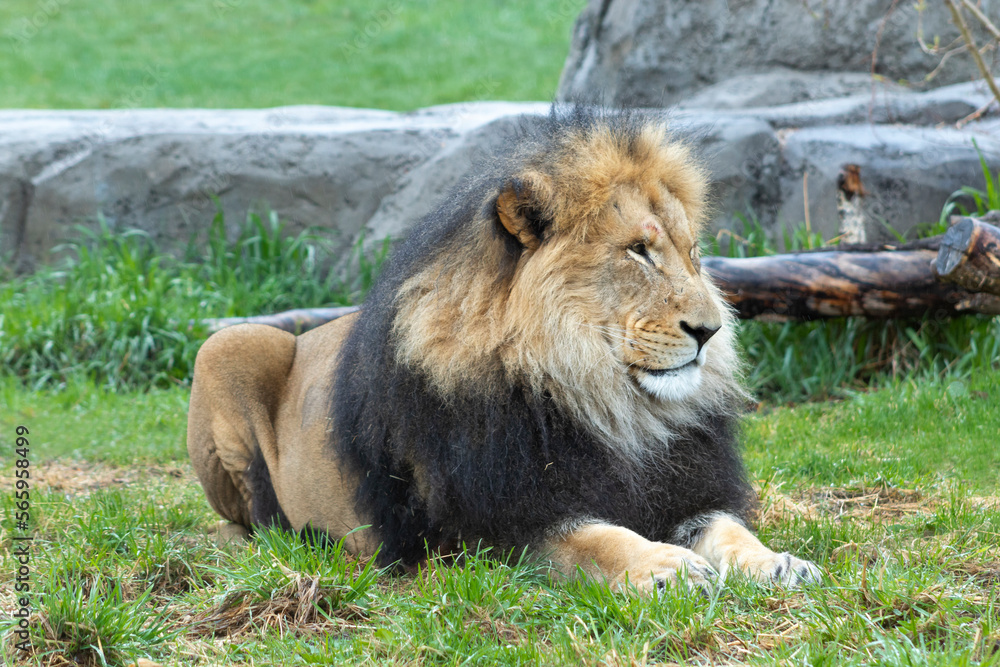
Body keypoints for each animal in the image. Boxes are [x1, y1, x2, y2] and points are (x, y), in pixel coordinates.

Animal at [187, 106, 821, 593]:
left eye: (693, 255)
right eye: (638, 250)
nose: (710, 331)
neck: (608, 403)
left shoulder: (688, 487)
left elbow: (728, 528)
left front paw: (779, 563)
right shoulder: (486, 530)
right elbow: (596, 538)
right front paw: (664, 565)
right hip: (228, 341)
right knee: (247, 521)